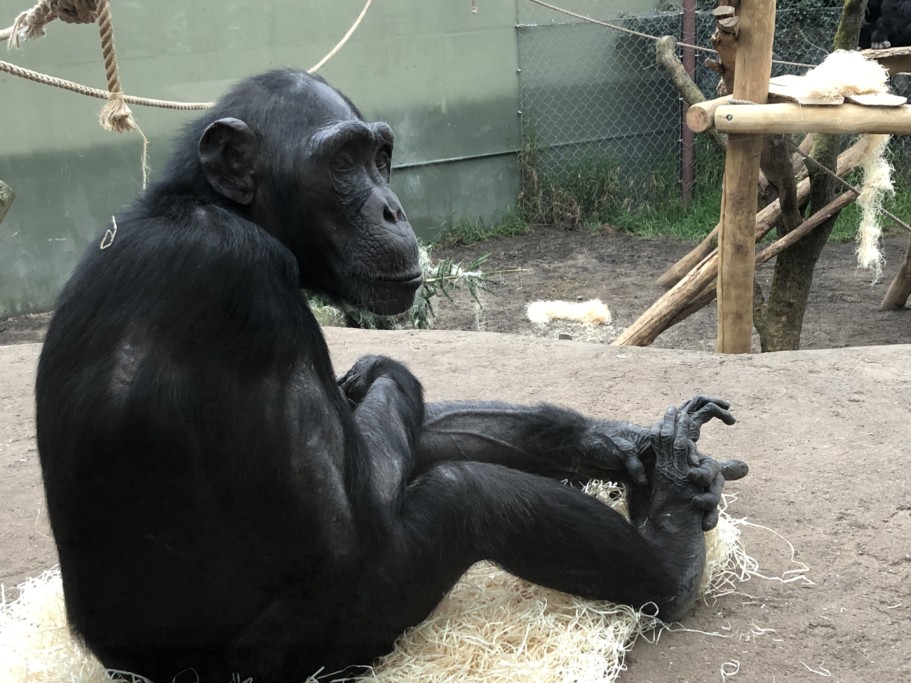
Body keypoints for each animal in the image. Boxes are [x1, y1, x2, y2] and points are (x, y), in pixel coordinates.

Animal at [33, 67, 748, 680]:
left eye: (379, 156)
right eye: (343, 163)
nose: (391, 207)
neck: (214, 207)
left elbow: (424, 431)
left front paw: (631, 445)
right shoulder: (244, 279)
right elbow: (349, 523)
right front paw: (386, 366)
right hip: (302, 653)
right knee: (468, 496)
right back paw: (672, 558)